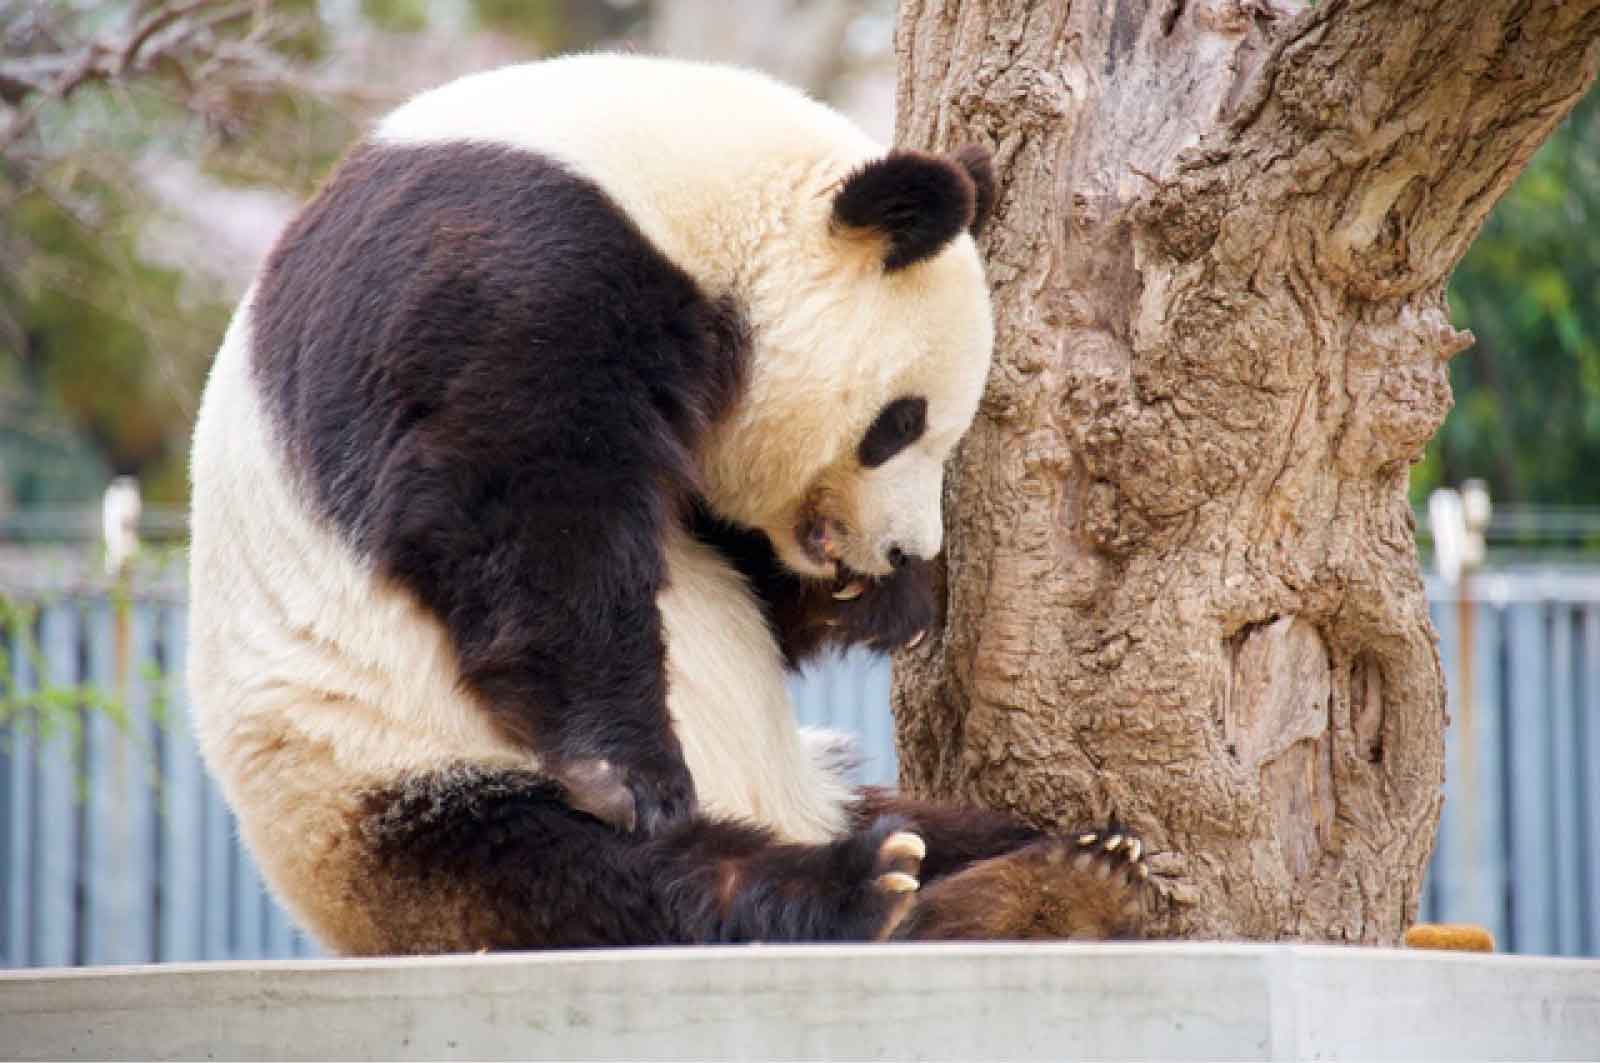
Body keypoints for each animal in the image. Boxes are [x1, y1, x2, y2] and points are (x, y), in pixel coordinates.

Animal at [187, 52, 1152, 954]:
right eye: (899, 422)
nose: (901, 550)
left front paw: (874, 598)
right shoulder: (504, 273)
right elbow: (516, 498)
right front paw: (629, 768)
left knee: (940, 826)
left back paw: (1065, 873)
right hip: (382, 781)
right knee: (589, 876)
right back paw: (861, 888)